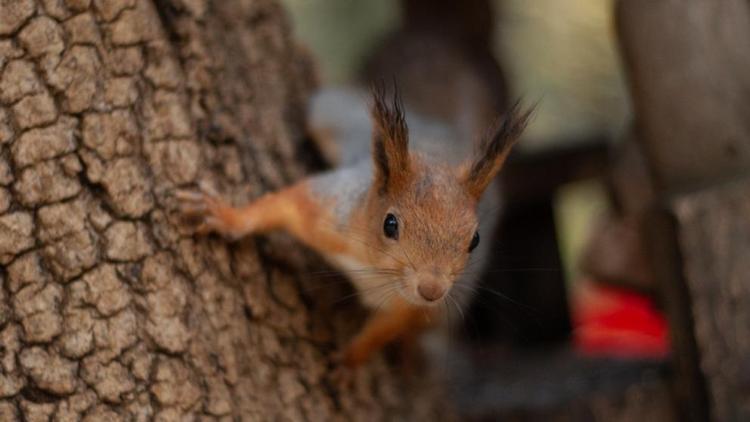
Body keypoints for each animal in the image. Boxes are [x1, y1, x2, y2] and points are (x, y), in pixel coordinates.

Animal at [178, 85, 536, 366]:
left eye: (475, 239)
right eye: (390, 224)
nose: (431, 290)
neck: (375, 270)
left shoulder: (408, 308)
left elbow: (385, 329)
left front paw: (351, 358)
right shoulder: (332, 212)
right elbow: (284, 204)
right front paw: (226, 215)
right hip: (332, 117)